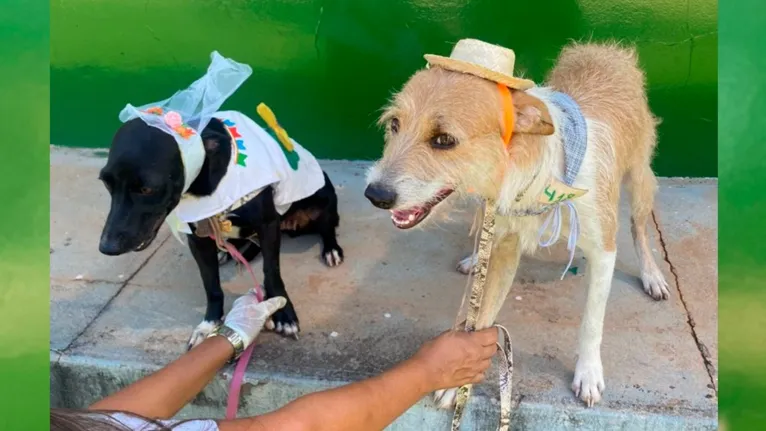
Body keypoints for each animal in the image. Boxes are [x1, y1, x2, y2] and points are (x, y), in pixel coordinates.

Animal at [99, 116, 344, 350]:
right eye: (106, 183)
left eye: (147, 189)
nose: (106, 247)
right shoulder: (198, 239)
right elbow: (211, 285)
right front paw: (210, 324)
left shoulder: (268, 224)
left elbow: (271, 272)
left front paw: (284, 314)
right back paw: (232, 253)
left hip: (322, 198)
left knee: (327, 227)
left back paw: (331, 250)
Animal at [364, 39, 668, 408]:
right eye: (394, 124)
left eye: (444, 140)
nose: (375, 194)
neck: (539, 177)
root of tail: (605, 49)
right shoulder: (505, 242)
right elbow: (482, 312)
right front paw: (458, 373)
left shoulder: (603, 248)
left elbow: (592, 322)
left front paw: (588, 372)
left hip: (639, 179)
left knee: (640, 228)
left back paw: (652, 274)